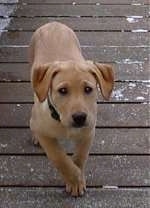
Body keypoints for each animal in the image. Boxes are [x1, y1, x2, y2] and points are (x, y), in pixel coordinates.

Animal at [29, 22, 113, 197]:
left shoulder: (89, 131)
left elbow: (80, 156)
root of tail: (53, 23)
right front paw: (74, 179)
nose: (79, 117)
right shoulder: (44, 133)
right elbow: (59, 157)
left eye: (88, 89)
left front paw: (77, 177)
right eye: (62, 91)